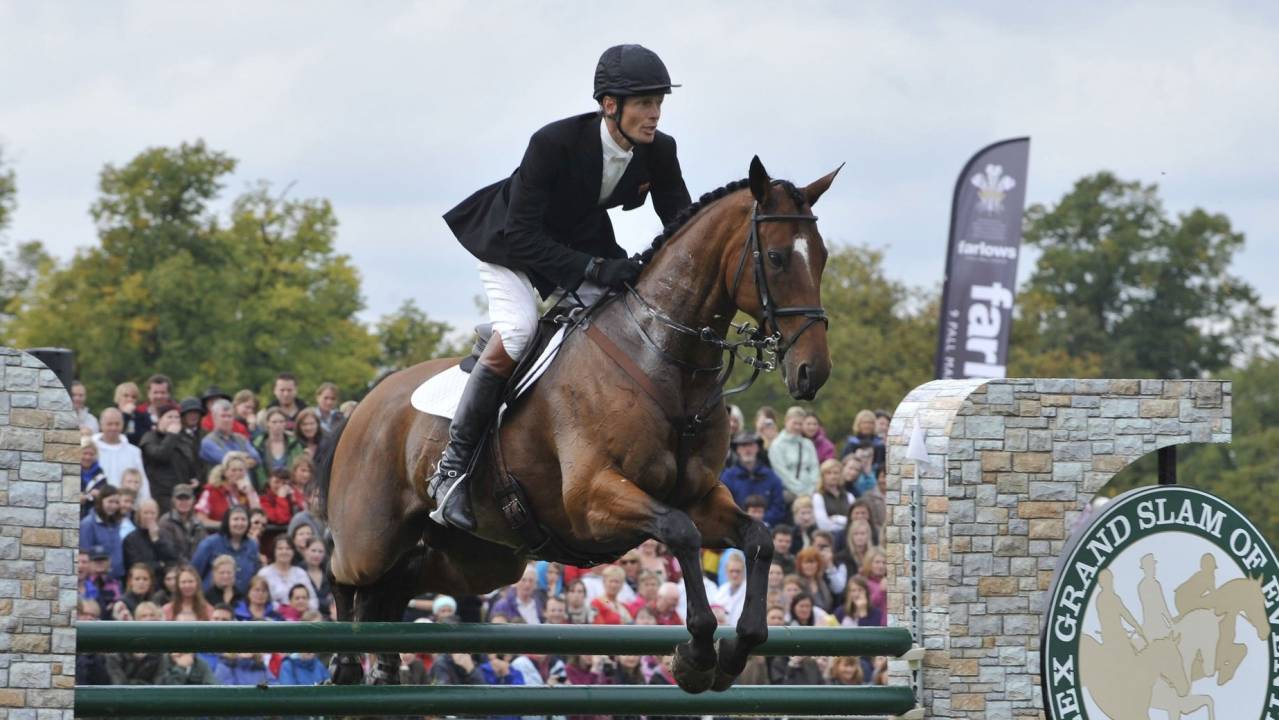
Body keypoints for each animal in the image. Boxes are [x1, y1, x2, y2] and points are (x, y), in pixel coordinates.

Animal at [319, 157, 839, 690]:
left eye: (821, 257)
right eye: (776, 257)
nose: (812, 371)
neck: (664, 358)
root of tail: (363, 407)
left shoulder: (700, 497)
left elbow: (757, 538)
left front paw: (736, 650)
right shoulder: (592, 496)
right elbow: (681, 533)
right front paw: (695, 655)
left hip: (483, 560)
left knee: (397, 585)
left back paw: (382, 668)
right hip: (372, 538)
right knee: (343, 572)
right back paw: (344, 664)